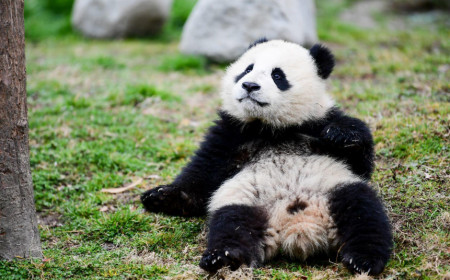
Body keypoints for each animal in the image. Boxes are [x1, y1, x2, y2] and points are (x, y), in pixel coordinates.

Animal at [140, 38, 390, 276]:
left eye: (277, 75)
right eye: (247, 69)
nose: (249, 85)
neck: (270, 128)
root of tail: (298, 228)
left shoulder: (316, 122)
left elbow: (360, 162)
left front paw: (341, 134)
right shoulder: (231, 132)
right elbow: (203, 173)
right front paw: (161, 196)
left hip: (334, 189)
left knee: (363, 212)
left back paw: (364, 259)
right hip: (246, 202)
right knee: (231, 225)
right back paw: (223, 257)